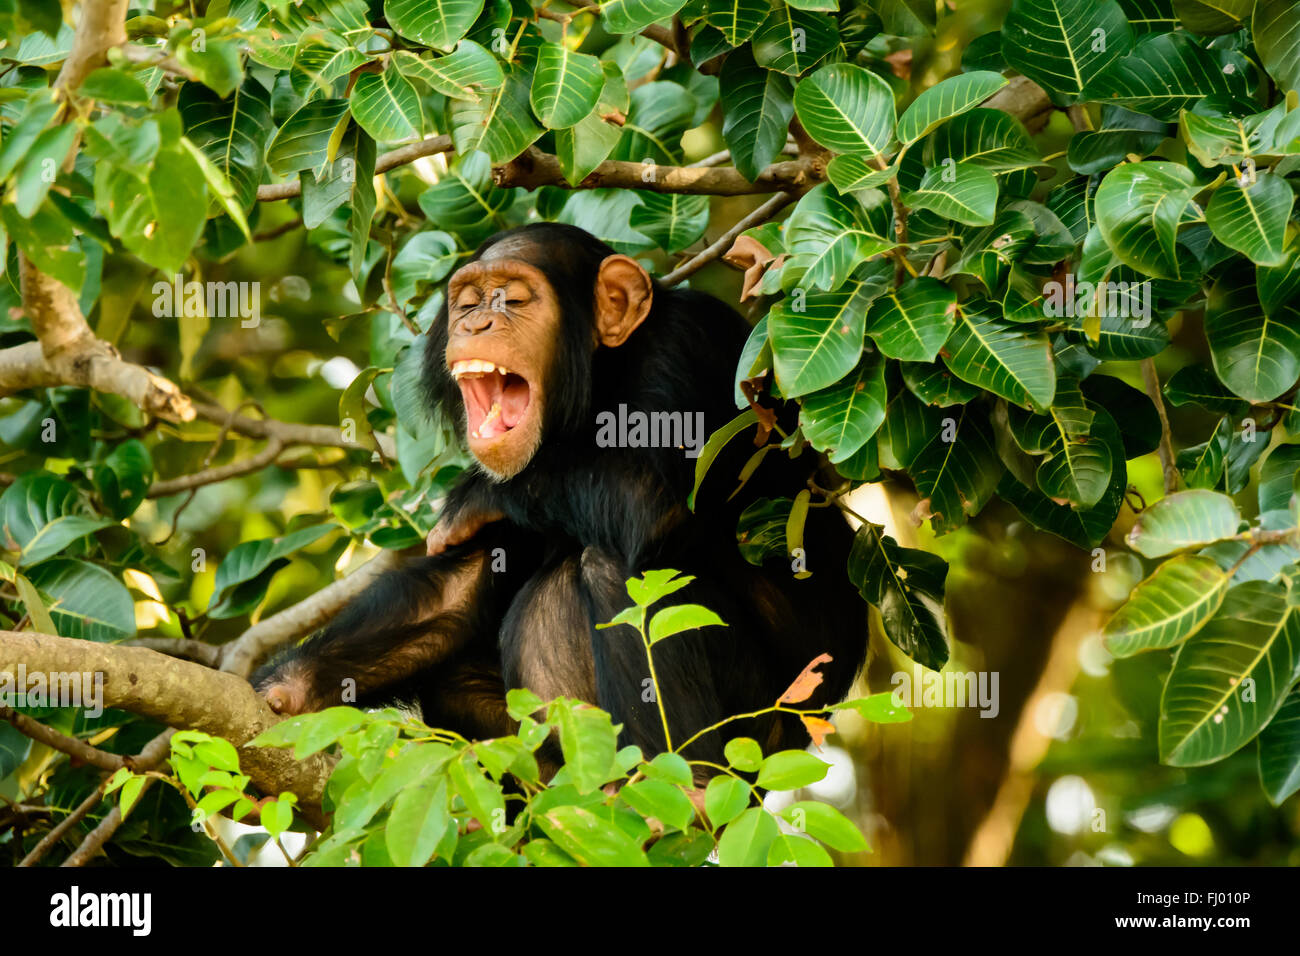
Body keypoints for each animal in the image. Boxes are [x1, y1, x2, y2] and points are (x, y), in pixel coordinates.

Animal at [250, 222, 873, 770]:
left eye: (513, 299)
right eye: (467, 301)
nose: (476, 321)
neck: (601, 380)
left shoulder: (691, 347)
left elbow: (651, 500)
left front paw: (473, 495)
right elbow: (462, 589)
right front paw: (287, 691)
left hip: (752, 730)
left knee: (614, 569)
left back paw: (687, 785)